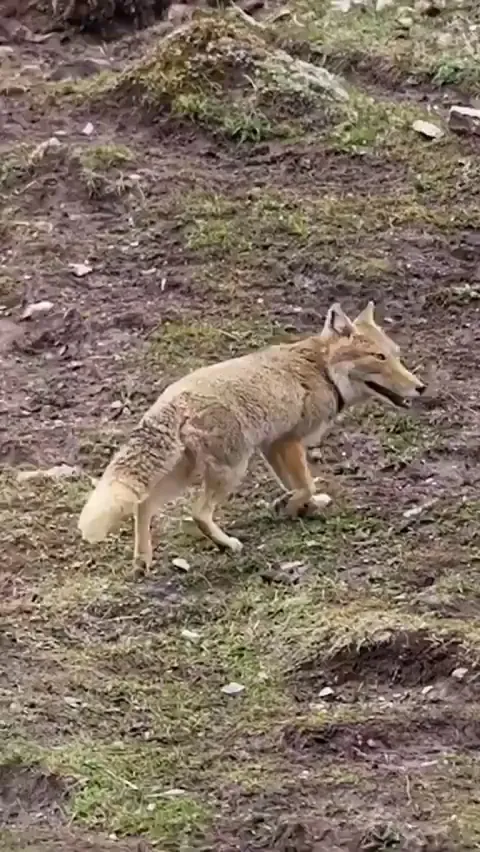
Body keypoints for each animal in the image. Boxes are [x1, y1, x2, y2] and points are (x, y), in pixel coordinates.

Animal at [78, 301, 426, 568]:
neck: (322, 370)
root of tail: (171, 400)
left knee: (144, 505)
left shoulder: (273, 445)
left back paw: (143, 561)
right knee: (197, 513)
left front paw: (304, 506)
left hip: (186, 474)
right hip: (232, 470)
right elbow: (305, 485)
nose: (420, 388)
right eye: (379, 358)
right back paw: (226, 544)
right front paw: (291, 506)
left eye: (396, 355)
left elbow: (299, 486)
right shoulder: (288, 442)